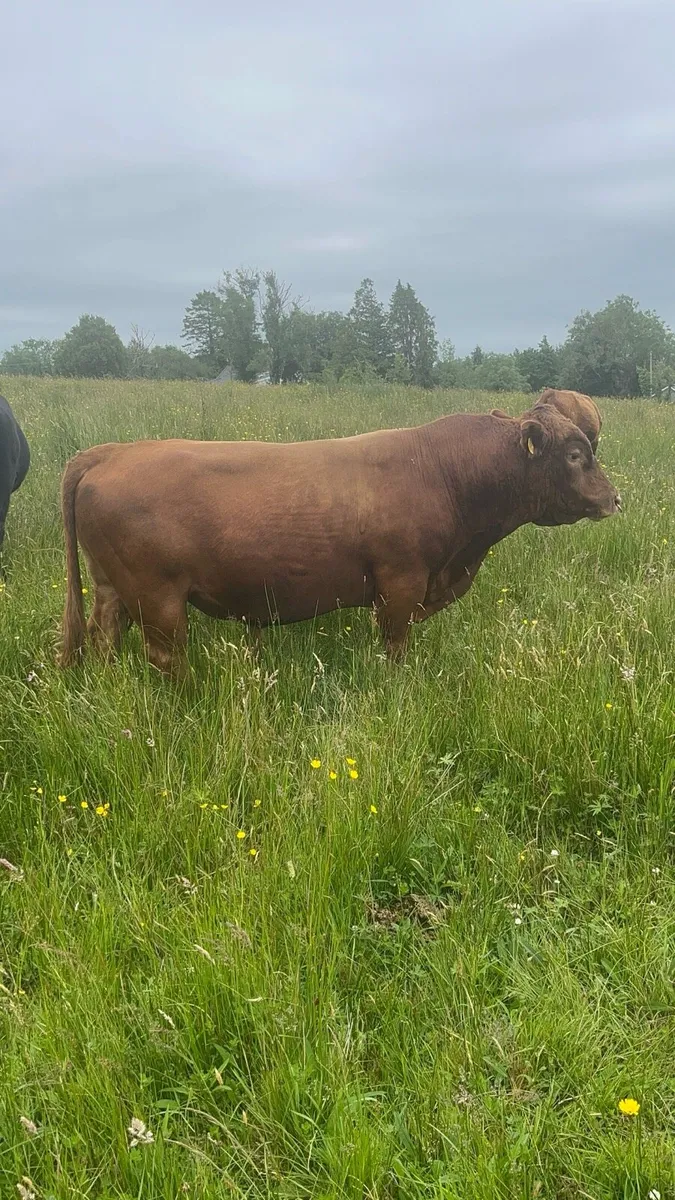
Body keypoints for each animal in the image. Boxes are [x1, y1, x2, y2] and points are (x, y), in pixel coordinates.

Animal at [59, 405, 620, 676]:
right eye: (575, 454)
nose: (614, 498)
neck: (442, 471)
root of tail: (110, 453)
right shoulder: (401, 581)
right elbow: (395, 646)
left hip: (112, 589)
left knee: (104, 639)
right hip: (158, 598)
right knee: (165, 657)